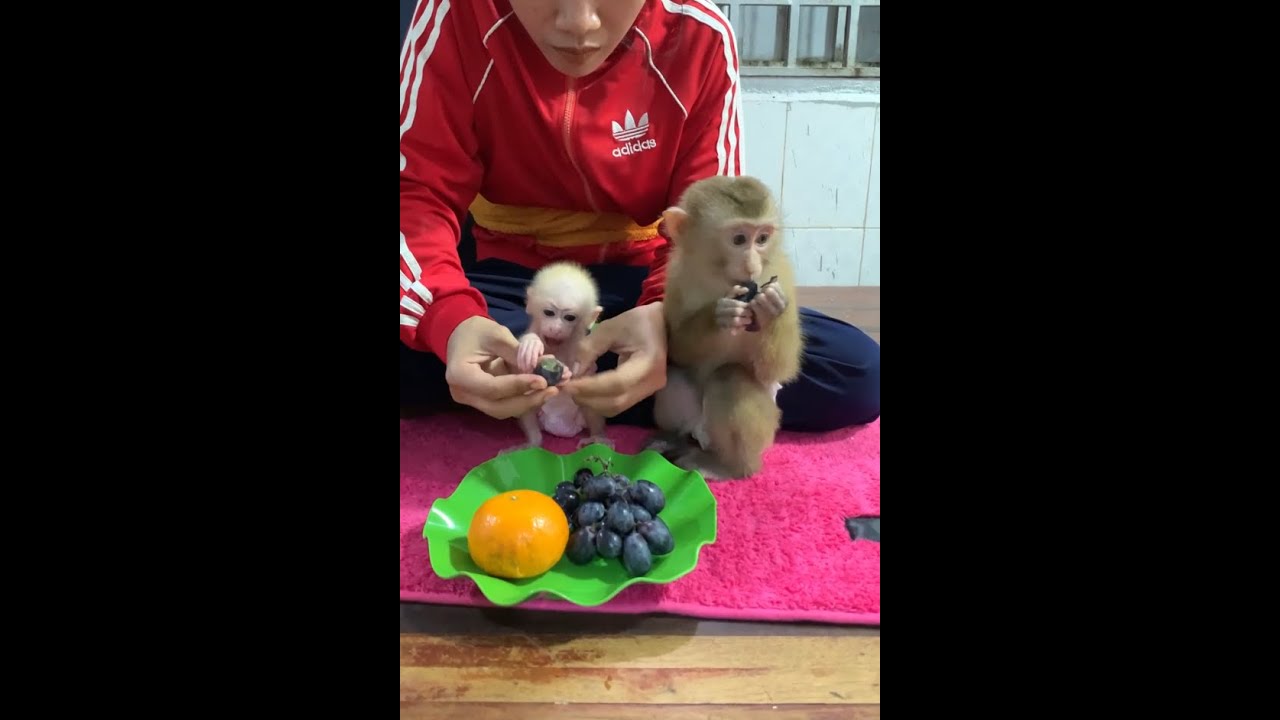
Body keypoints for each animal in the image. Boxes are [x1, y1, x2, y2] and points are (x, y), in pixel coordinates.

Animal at [504, 261, 609, 452]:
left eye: (569, 317)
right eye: (549, 313)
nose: (556, 329)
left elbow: (584, 371)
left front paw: (567, 373)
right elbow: (518, 368)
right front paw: (531, 344)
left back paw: (597, 437)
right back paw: (533, 442)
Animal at [646, 175, 804, 479]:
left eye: (762, 238)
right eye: (739, 239)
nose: (752, 265)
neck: (721, 277)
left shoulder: (782, 273)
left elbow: (779, 369)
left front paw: (772, 307)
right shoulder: (677, 276)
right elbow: (678, 349)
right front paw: (718, 316)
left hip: (766, 426)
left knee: (730, 378)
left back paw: (730, 467)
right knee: (671, 376)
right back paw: (672, 440)